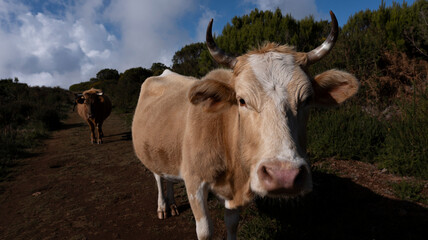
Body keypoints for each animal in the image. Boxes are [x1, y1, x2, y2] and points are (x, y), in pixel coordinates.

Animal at [132, 11, 360, 240]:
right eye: (241, 100)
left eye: (306, 99)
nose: (283, 176)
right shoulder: (194, 182)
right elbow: (205, 231)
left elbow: (232, 224)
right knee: (158, 177)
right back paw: (163, 206)